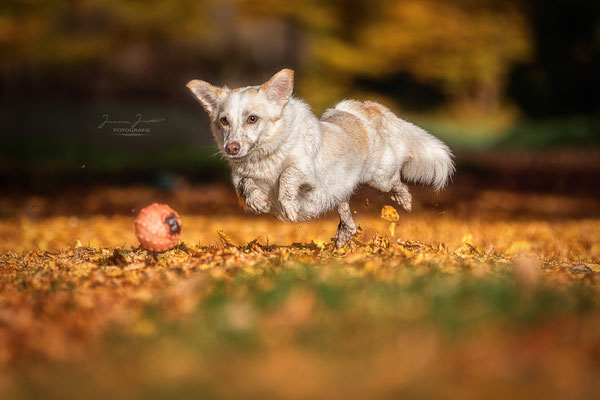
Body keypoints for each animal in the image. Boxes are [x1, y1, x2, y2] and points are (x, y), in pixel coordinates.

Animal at [188, 69, 454, 247]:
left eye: (252, 118)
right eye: (224, 121)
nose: (231, 148)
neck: (265, 157)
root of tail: (364, 110)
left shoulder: (307, 173)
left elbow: (287, 176)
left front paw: (289, 207)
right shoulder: (241, 176)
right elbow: (245, 184)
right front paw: (258, 202)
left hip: (379, 177)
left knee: (396, 182)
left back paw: (404, 200)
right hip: (340, 191)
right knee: (348, 219)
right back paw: (343, 236)